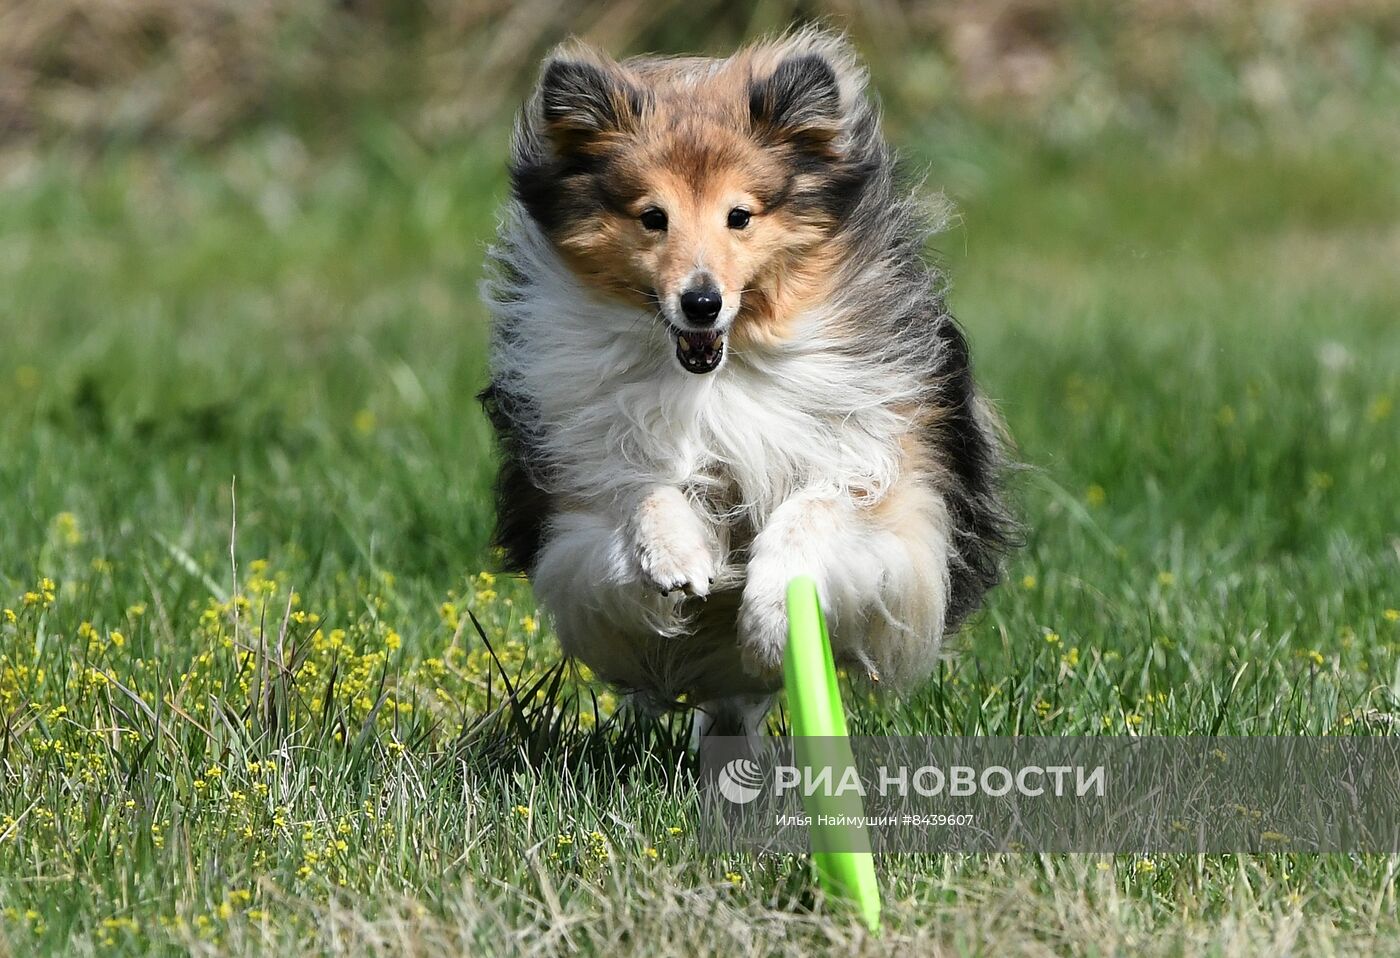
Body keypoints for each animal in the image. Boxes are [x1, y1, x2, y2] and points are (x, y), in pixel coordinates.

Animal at [481, 28, 1019, 739]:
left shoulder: (892, 490)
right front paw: (676, 558)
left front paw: (770, 616)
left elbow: (815, 508)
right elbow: (639, 492)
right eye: (653, 217)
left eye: (740, 216)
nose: (701, 303)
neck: (722, 375)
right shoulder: (577, 509)